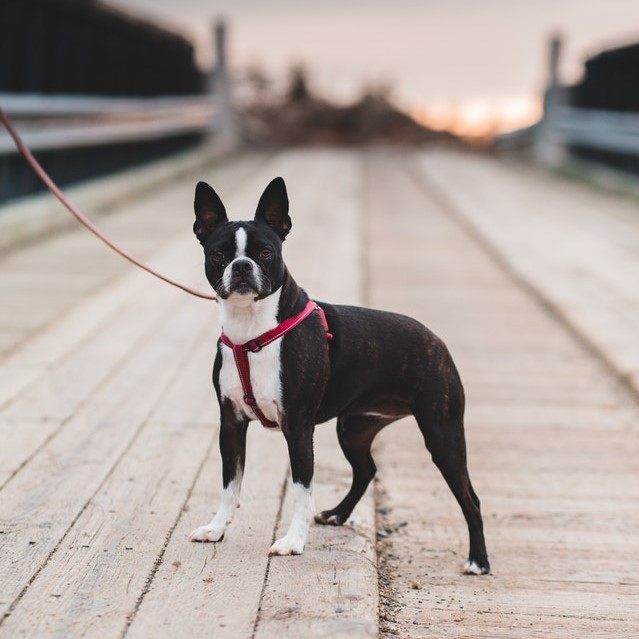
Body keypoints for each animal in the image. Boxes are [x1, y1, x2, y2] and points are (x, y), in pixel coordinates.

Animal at [189, 176, 490, 576]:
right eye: (219, 254)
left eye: (266, 253)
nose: (241, 266)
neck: (250, 331)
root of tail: (437, 340)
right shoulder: (232, 424)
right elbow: (229, 485)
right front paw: (216, 529)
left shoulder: (298, 428)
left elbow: (302, 490)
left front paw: (293, 542)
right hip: (353, 428)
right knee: (366, 470)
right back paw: (338, 514)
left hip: (442, 434)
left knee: (470, 498)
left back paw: (478, 560)